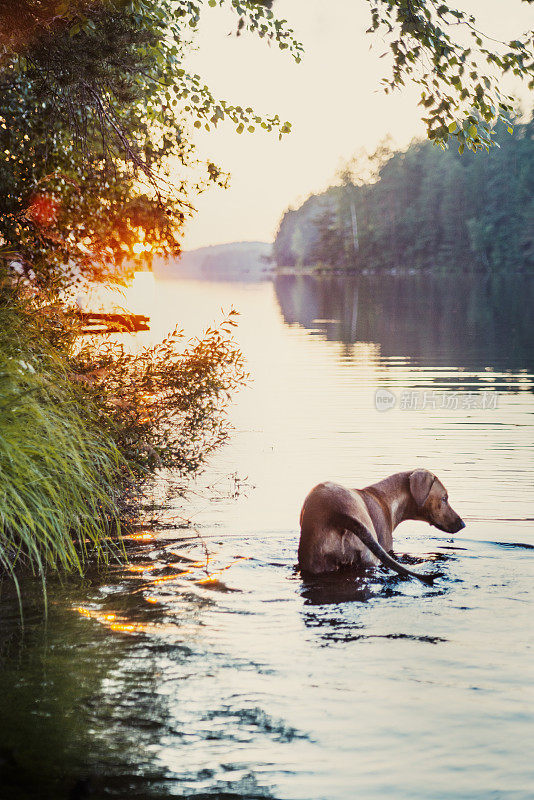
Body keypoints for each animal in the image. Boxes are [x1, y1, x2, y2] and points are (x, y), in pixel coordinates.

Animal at [300, 468, 466, 580]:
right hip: (369, 557)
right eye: (444, 498)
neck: (386, 498)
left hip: (317, 562)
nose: (463, 524)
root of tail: (337, 513)